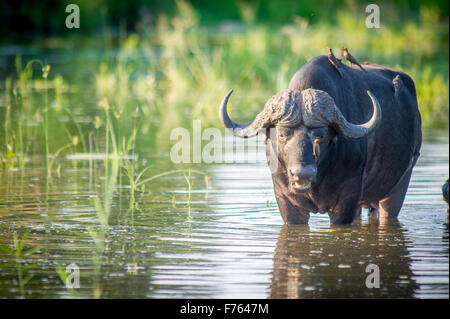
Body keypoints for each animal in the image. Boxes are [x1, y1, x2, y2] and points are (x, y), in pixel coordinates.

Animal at [218, 54, 422, 225]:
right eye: (282, 134)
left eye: (321, 135)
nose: (302, 174)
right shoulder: (286, 201)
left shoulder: (347, 201)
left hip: (400, 184)